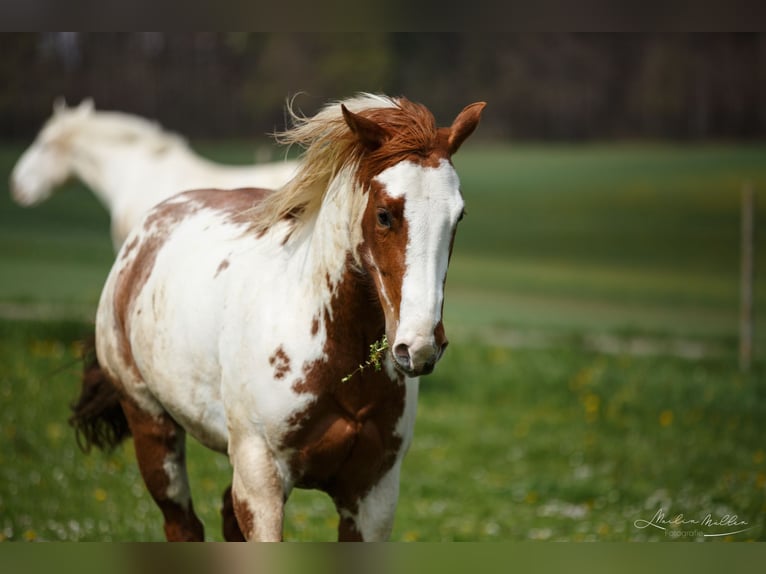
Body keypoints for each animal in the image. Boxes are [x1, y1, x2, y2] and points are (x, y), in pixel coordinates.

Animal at [69, 93, 485, 541]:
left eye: (458, 215)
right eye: (385, 214)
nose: (420, 346)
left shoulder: (373, 494)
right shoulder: (261, 481)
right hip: (152, 426)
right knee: (183, 524)